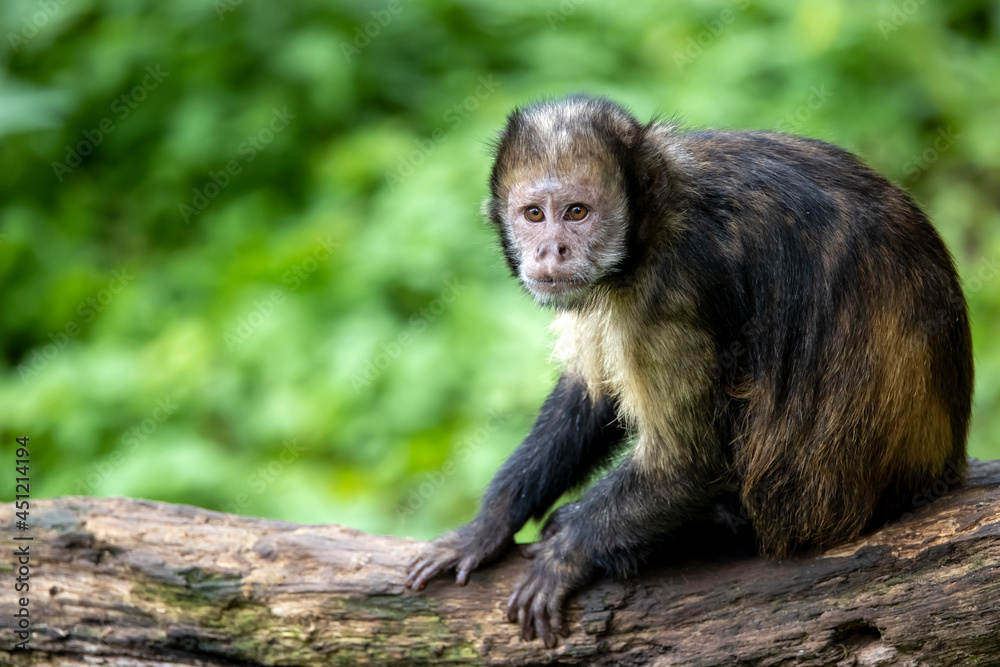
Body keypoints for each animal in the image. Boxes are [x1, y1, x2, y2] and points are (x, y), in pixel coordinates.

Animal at [402, 94, 972, 648]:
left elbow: (688, 463)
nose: (550, 250)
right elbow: (591, 396)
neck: (660, 213)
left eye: (577, 212)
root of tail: (941, 471)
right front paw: (488, 524)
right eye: (534, 214)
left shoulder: (672, 288)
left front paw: (568, 554)